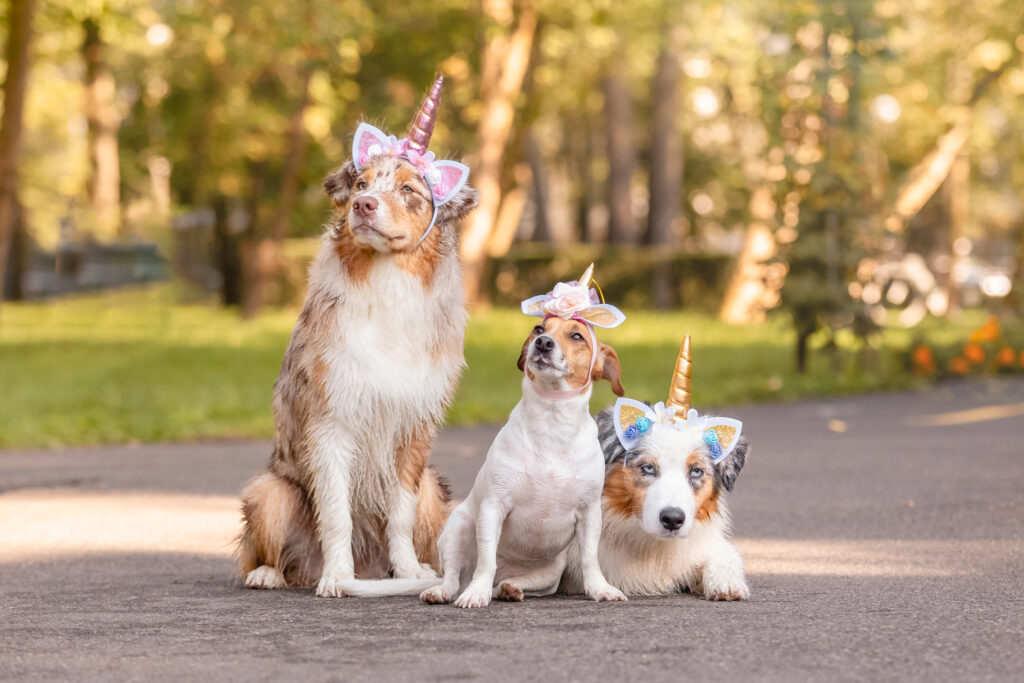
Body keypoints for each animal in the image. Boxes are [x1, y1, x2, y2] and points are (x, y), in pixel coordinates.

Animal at [235, 77, 479, 593]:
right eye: (362, 186)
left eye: (408, 189)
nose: (364, 205)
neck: (387, 283)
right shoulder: (332, 422)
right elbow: (335, 514)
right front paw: (336, 577)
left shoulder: (412, 427)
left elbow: (400, 512)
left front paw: (408, 571)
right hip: (269, 490)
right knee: (271, 553)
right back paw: (272, 573)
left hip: (435, 487)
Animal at [561, 335, 753, 598]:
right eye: (647, 468)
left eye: (696, 471)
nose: (673, 519)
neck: (650, 546)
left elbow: (724, 558)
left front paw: (727, 585)